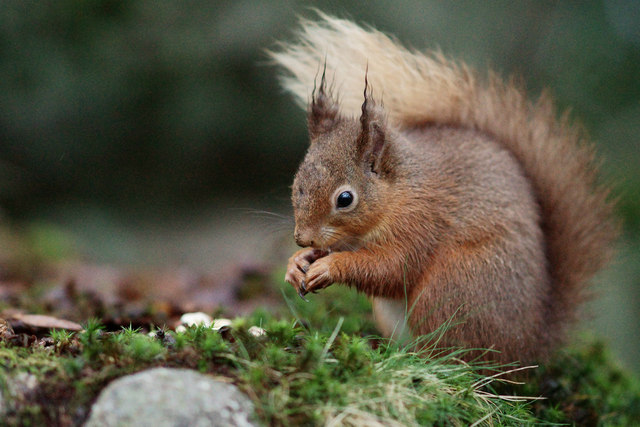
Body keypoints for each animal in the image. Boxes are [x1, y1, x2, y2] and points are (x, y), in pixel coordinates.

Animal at [270, 16, 616, 364]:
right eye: (297, 183)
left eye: (345, 199)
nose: (302, 237)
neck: (399, 192)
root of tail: (529, 349)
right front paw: (297, 263)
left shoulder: (421, 223)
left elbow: (392, 268)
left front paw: (329, 266)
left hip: (453, 288)